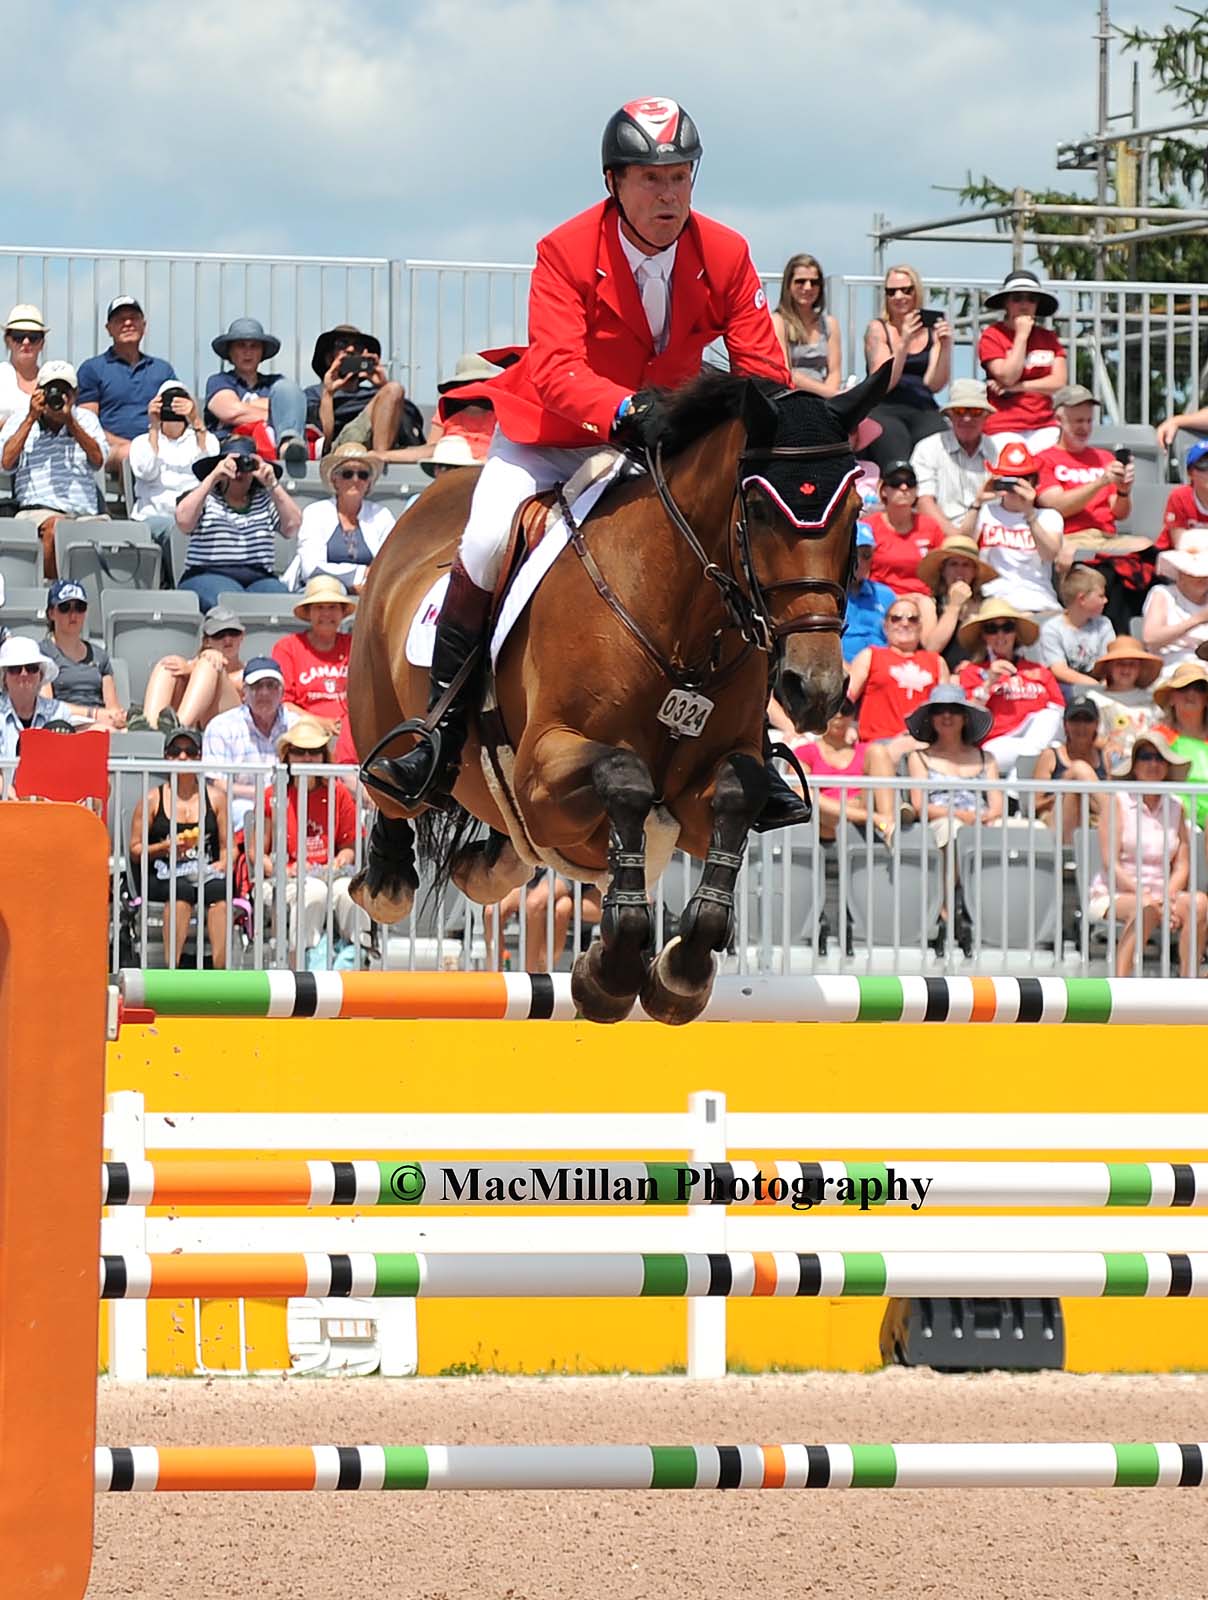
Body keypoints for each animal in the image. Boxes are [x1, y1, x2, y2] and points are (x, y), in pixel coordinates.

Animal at [347, 363, 889, 1024]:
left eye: (855, 507)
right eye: (759, 509)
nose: (814, 688)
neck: (680, 620)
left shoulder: (698, 800)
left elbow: (739, 791)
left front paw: (679, 971)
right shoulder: (544, 769)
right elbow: (624, 776)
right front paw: (612, 969)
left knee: (505, 850)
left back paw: (487, 865)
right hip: (386, 715)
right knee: (397, 797)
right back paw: (390, 864)